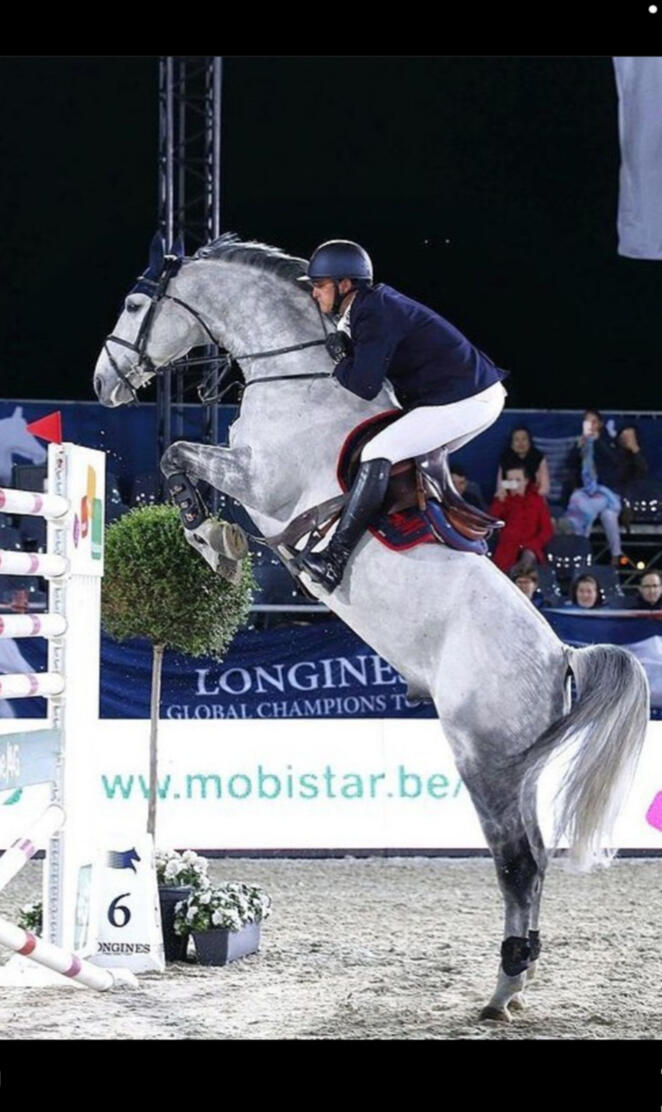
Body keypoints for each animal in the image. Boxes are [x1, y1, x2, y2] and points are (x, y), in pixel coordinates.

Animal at [93, 233, 649, 1021]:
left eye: (135, 303)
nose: (103, 384)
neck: (294, 373)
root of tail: (562, 655)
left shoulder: (261, 483)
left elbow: (179, 457)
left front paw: (213, 542)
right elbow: (181, 462)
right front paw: (214, 541)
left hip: (483, 756)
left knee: (517, 862)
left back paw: (502, 987)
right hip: (519, 767)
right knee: (534, 858)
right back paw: (518, 982)